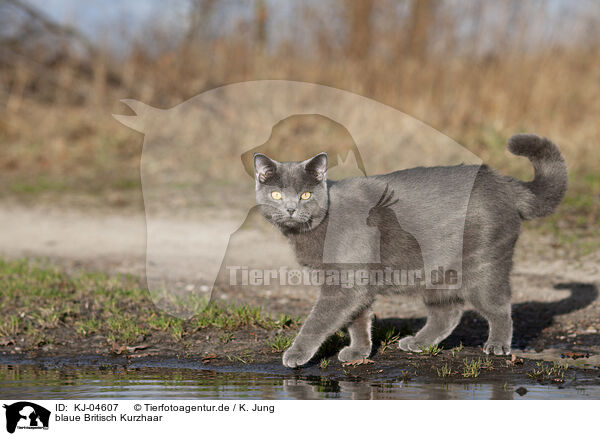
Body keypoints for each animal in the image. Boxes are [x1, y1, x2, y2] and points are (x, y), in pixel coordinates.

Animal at [253, 134, 568, 368]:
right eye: (276, 194)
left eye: (305, 194)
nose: (290, 209)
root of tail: (504, 183)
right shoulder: (352, 282)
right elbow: (358, 318)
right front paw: (359, 351)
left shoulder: (345, 282)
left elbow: (318, 320)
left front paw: (296, 354)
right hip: (437, 272)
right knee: (448, 312)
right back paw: (418, 343)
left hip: (484, 265)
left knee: (499, 307)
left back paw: (497, 345)